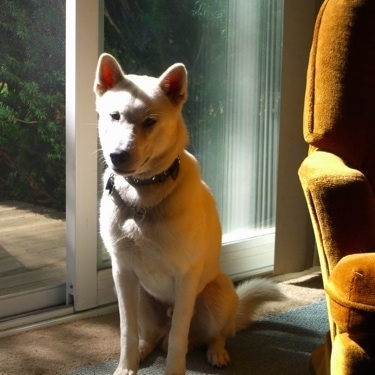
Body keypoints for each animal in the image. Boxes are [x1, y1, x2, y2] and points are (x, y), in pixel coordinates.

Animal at [94, 53, 284, 375]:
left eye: (150, 121)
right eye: (114, 116)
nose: (117, 156)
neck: (143, 196)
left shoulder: (185, 276)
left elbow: (178, 336)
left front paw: (174, 370)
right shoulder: (122, 272)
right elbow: (126, 331)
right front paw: (126, 367)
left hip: (219, 294)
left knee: (213, 334)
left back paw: (217, 352)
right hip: (142, 298)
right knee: (151, 336)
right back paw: (144, 349)